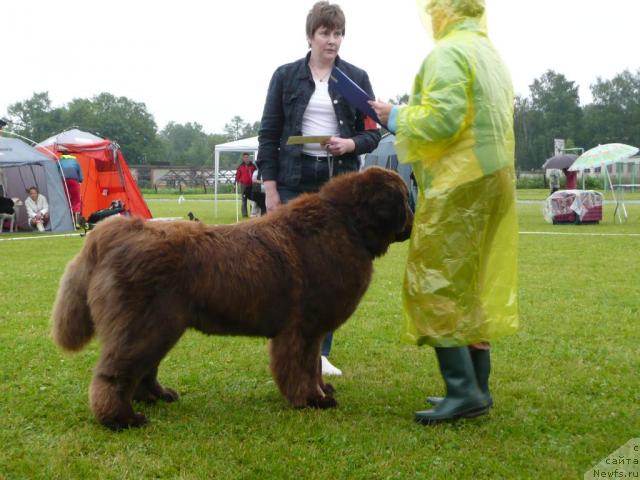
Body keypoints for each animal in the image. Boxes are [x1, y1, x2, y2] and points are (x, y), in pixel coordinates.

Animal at [50, 167, 410, 430]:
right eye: (404, 200)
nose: (412, 219)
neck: (347, 225)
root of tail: (111, 233)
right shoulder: (303, 330)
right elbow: (303, 368)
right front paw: (311, 400)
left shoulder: (312, 330)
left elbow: (314, 367)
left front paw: (321, 391)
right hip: (146, 325)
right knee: (115, 373)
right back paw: (120, 419)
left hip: (157, 326)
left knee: (142, 370)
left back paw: (156, 397)